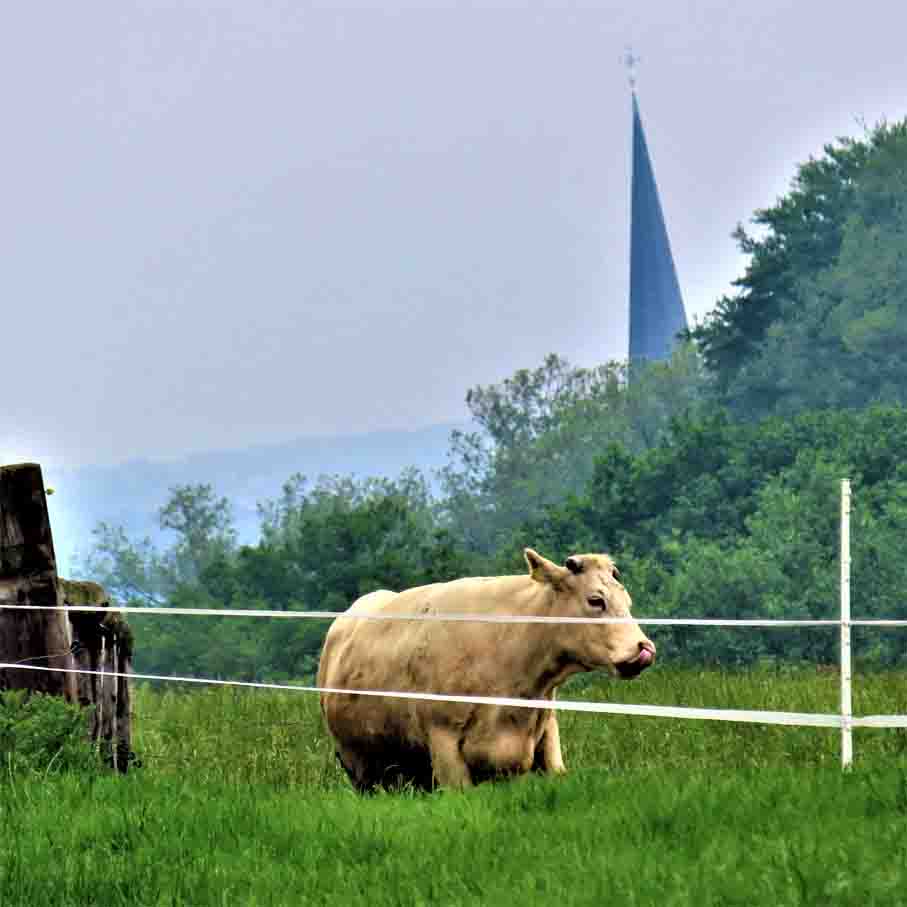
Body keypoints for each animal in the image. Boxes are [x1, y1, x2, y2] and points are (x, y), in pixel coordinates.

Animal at [317, 548, 655, 792]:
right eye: (596, 600)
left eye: (627, 601)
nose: (644, 649)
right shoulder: (444, 743)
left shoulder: (545, 738)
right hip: (359, 765)